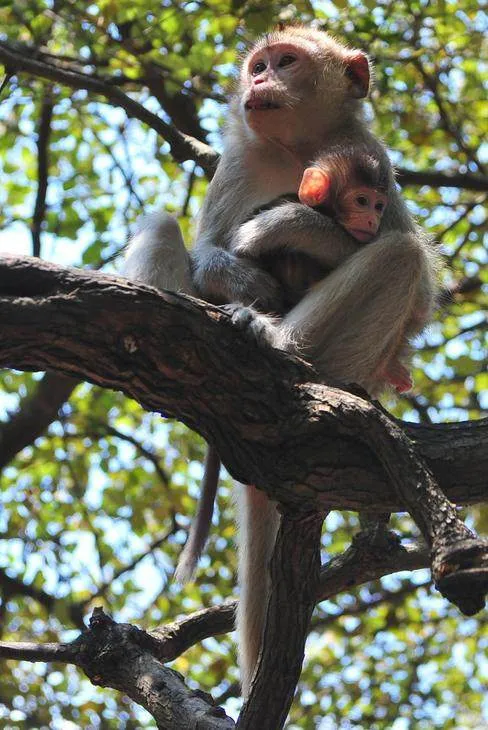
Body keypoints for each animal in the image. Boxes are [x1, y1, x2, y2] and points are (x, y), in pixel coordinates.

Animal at [125, 27, 454, 698]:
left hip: (347, 357)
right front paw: (237, 271)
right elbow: (207, 248)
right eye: (259, 63)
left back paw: (278, 344)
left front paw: (291, 225)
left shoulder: (375, 162)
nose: (259, 80)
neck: (295, 149)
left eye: (287, 62)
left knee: (400, 257)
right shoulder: (236, 166)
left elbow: (413, 287)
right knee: (163, 224)